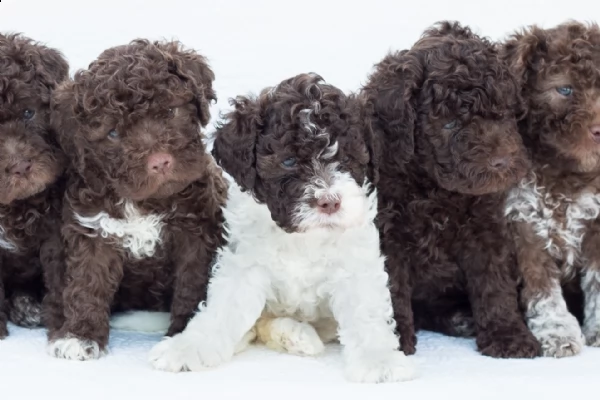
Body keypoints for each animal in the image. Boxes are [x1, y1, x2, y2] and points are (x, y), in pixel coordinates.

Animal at [47, 39, 227, 360]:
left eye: (170, 110)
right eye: (113, 133)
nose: (160, 162)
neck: (146, 202)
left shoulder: (196, 233)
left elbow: (192, 284)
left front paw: (183, 333)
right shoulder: (94, 231)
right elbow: (87, 284)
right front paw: (80, 335)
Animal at [148, 73, 414, 382]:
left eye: (346, 159)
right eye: (288, 161)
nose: (330, 202)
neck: (303, 237)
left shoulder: (355, 264)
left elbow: (366, 313)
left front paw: (380, 360)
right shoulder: (245, 264)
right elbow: (222, 309)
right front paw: (188, 347)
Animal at [364, 21, 540, 360]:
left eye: (503, 112)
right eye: (449, 123)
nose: (502, 162)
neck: (436, 191)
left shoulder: (486, 230)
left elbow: (494, 285)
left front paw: (507, 335)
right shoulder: (387, 237)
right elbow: (392, 290)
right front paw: (393, 342)